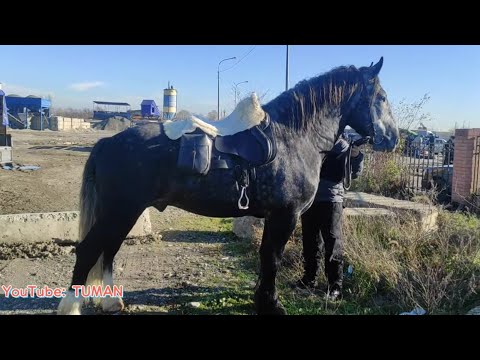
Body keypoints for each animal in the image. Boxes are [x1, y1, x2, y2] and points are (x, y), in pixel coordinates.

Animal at [58, 57, 400, 314]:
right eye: (381, 98)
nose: (393, 138)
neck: (294, 136)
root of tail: (107, 142)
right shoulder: (285, 216)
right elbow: (273, 259)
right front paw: (272, 304)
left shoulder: (278, 217)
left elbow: (266, 258)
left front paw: (262, 300)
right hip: (120, 210)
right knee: (89, 250)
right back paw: (72, 306)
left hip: (123, 212)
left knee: (109, 248)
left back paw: (112, 301)